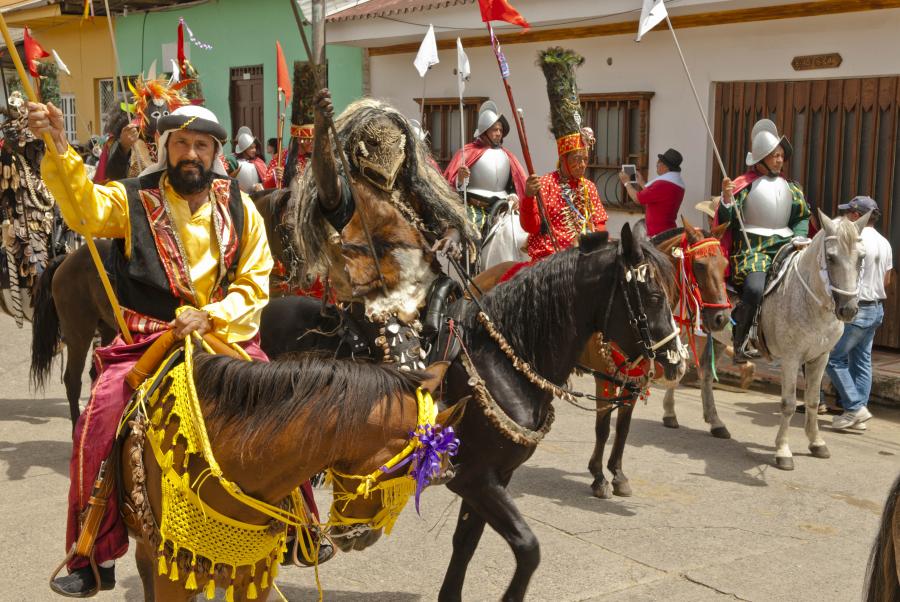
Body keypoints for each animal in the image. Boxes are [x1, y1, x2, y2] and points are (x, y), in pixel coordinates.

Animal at [264, 223, 684, 596]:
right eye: (653, 296)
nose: (677, 363)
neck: (504, 358)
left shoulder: (494, 478)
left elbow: (466, 543)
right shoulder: (476, 479)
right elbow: (528, 548)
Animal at [660, 211, 864, 468]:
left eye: (861, 258)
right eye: (831, 257)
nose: (848, 309)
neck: (808, 299)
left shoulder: (820, 356)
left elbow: (813, 401)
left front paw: (816, 442)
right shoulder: (790, 358)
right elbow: (788, 404)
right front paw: (783, 451)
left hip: (716, 332)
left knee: (705, 371)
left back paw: (716, 423)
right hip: (683, 326)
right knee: (680, 364)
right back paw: (670, 414)